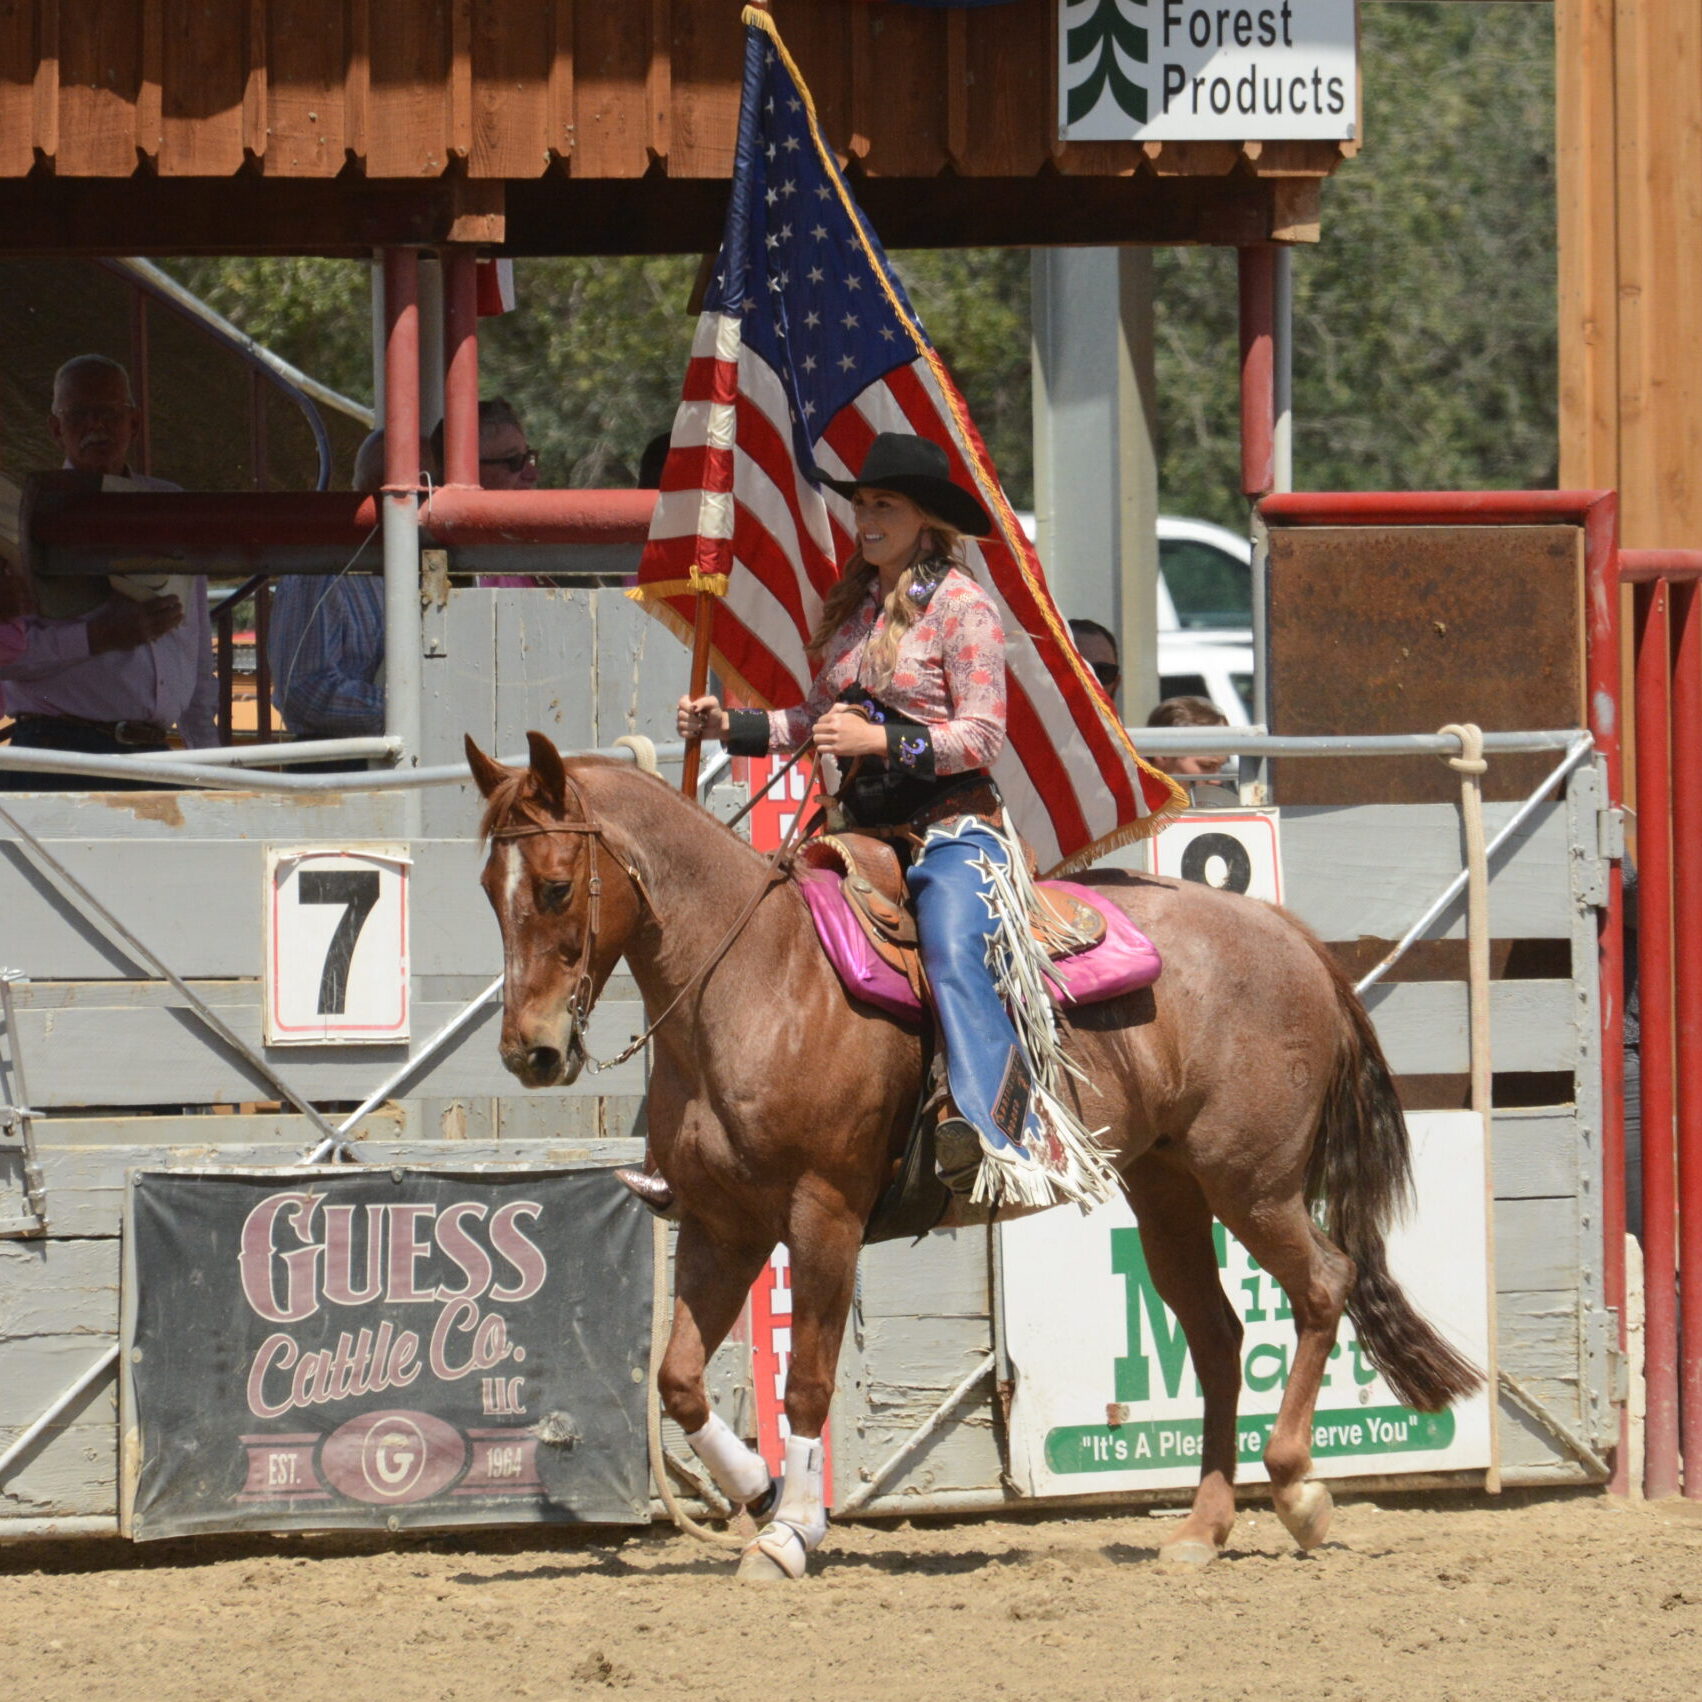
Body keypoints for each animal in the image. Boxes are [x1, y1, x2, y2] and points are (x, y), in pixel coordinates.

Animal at [466, 735, 1477, 1579]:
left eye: (554, 886)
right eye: (486, 888)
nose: (530, 1051)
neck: (754, 978)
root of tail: (1286, 934)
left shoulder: (823, 1216)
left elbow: (808, 1383)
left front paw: (790, 1534)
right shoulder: (725, 1226)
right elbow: (677, 1380)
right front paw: (759, 1490)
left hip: (1253, 1181)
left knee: (1322, 1286)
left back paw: (1299, 1488)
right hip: (1169, 1186)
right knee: (1220, 1337)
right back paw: (1201, 1527)